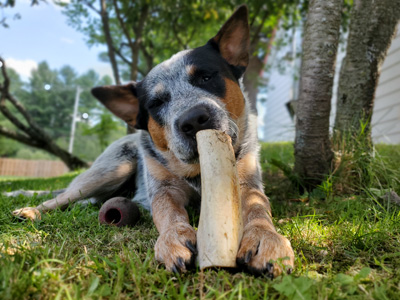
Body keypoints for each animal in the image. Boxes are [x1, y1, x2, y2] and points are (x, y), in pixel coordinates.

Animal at [11, 4, 294, 276]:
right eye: (156, 103)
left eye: (205, 77)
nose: (193, 120)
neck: (198, 171)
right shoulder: (164, 190)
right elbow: (167, 212)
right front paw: (173, 238)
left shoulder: (247, 183)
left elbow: (258, 208)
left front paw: (265, 238)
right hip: (113, 169)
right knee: (62, 197)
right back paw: (31, 210)